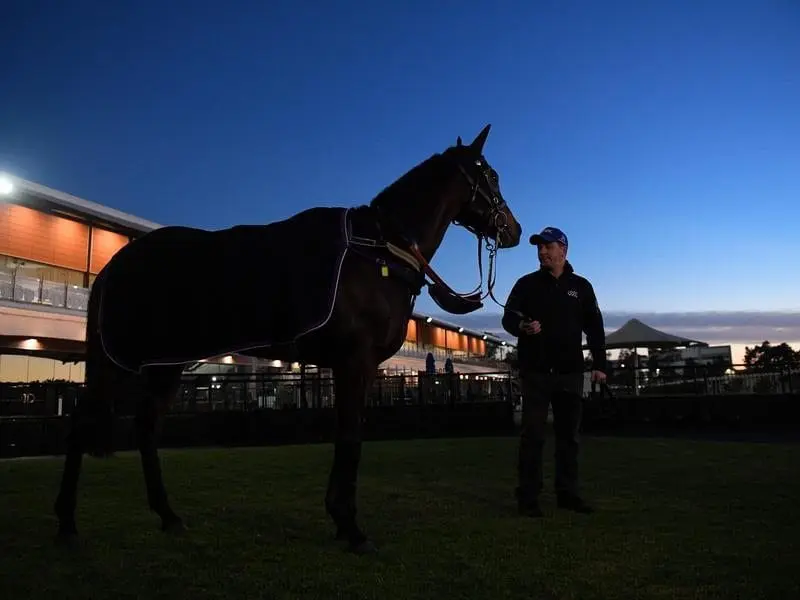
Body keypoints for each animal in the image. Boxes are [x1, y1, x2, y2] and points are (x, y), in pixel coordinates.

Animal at [53, 124, 520, 556]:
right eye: (492, 174)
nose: (514, 230)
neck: (378, 251)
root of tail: (113, 266)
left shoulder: (349, 366)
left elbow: (345, 434)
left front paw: (339, 517)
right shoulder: (355, 362)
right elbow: (350, 437)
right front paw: (351, 527)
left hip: (165, 366)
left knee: (147, 428)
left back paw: (168, 516)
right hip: (117, 363)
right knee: (81, 428)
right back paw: (67, 526)